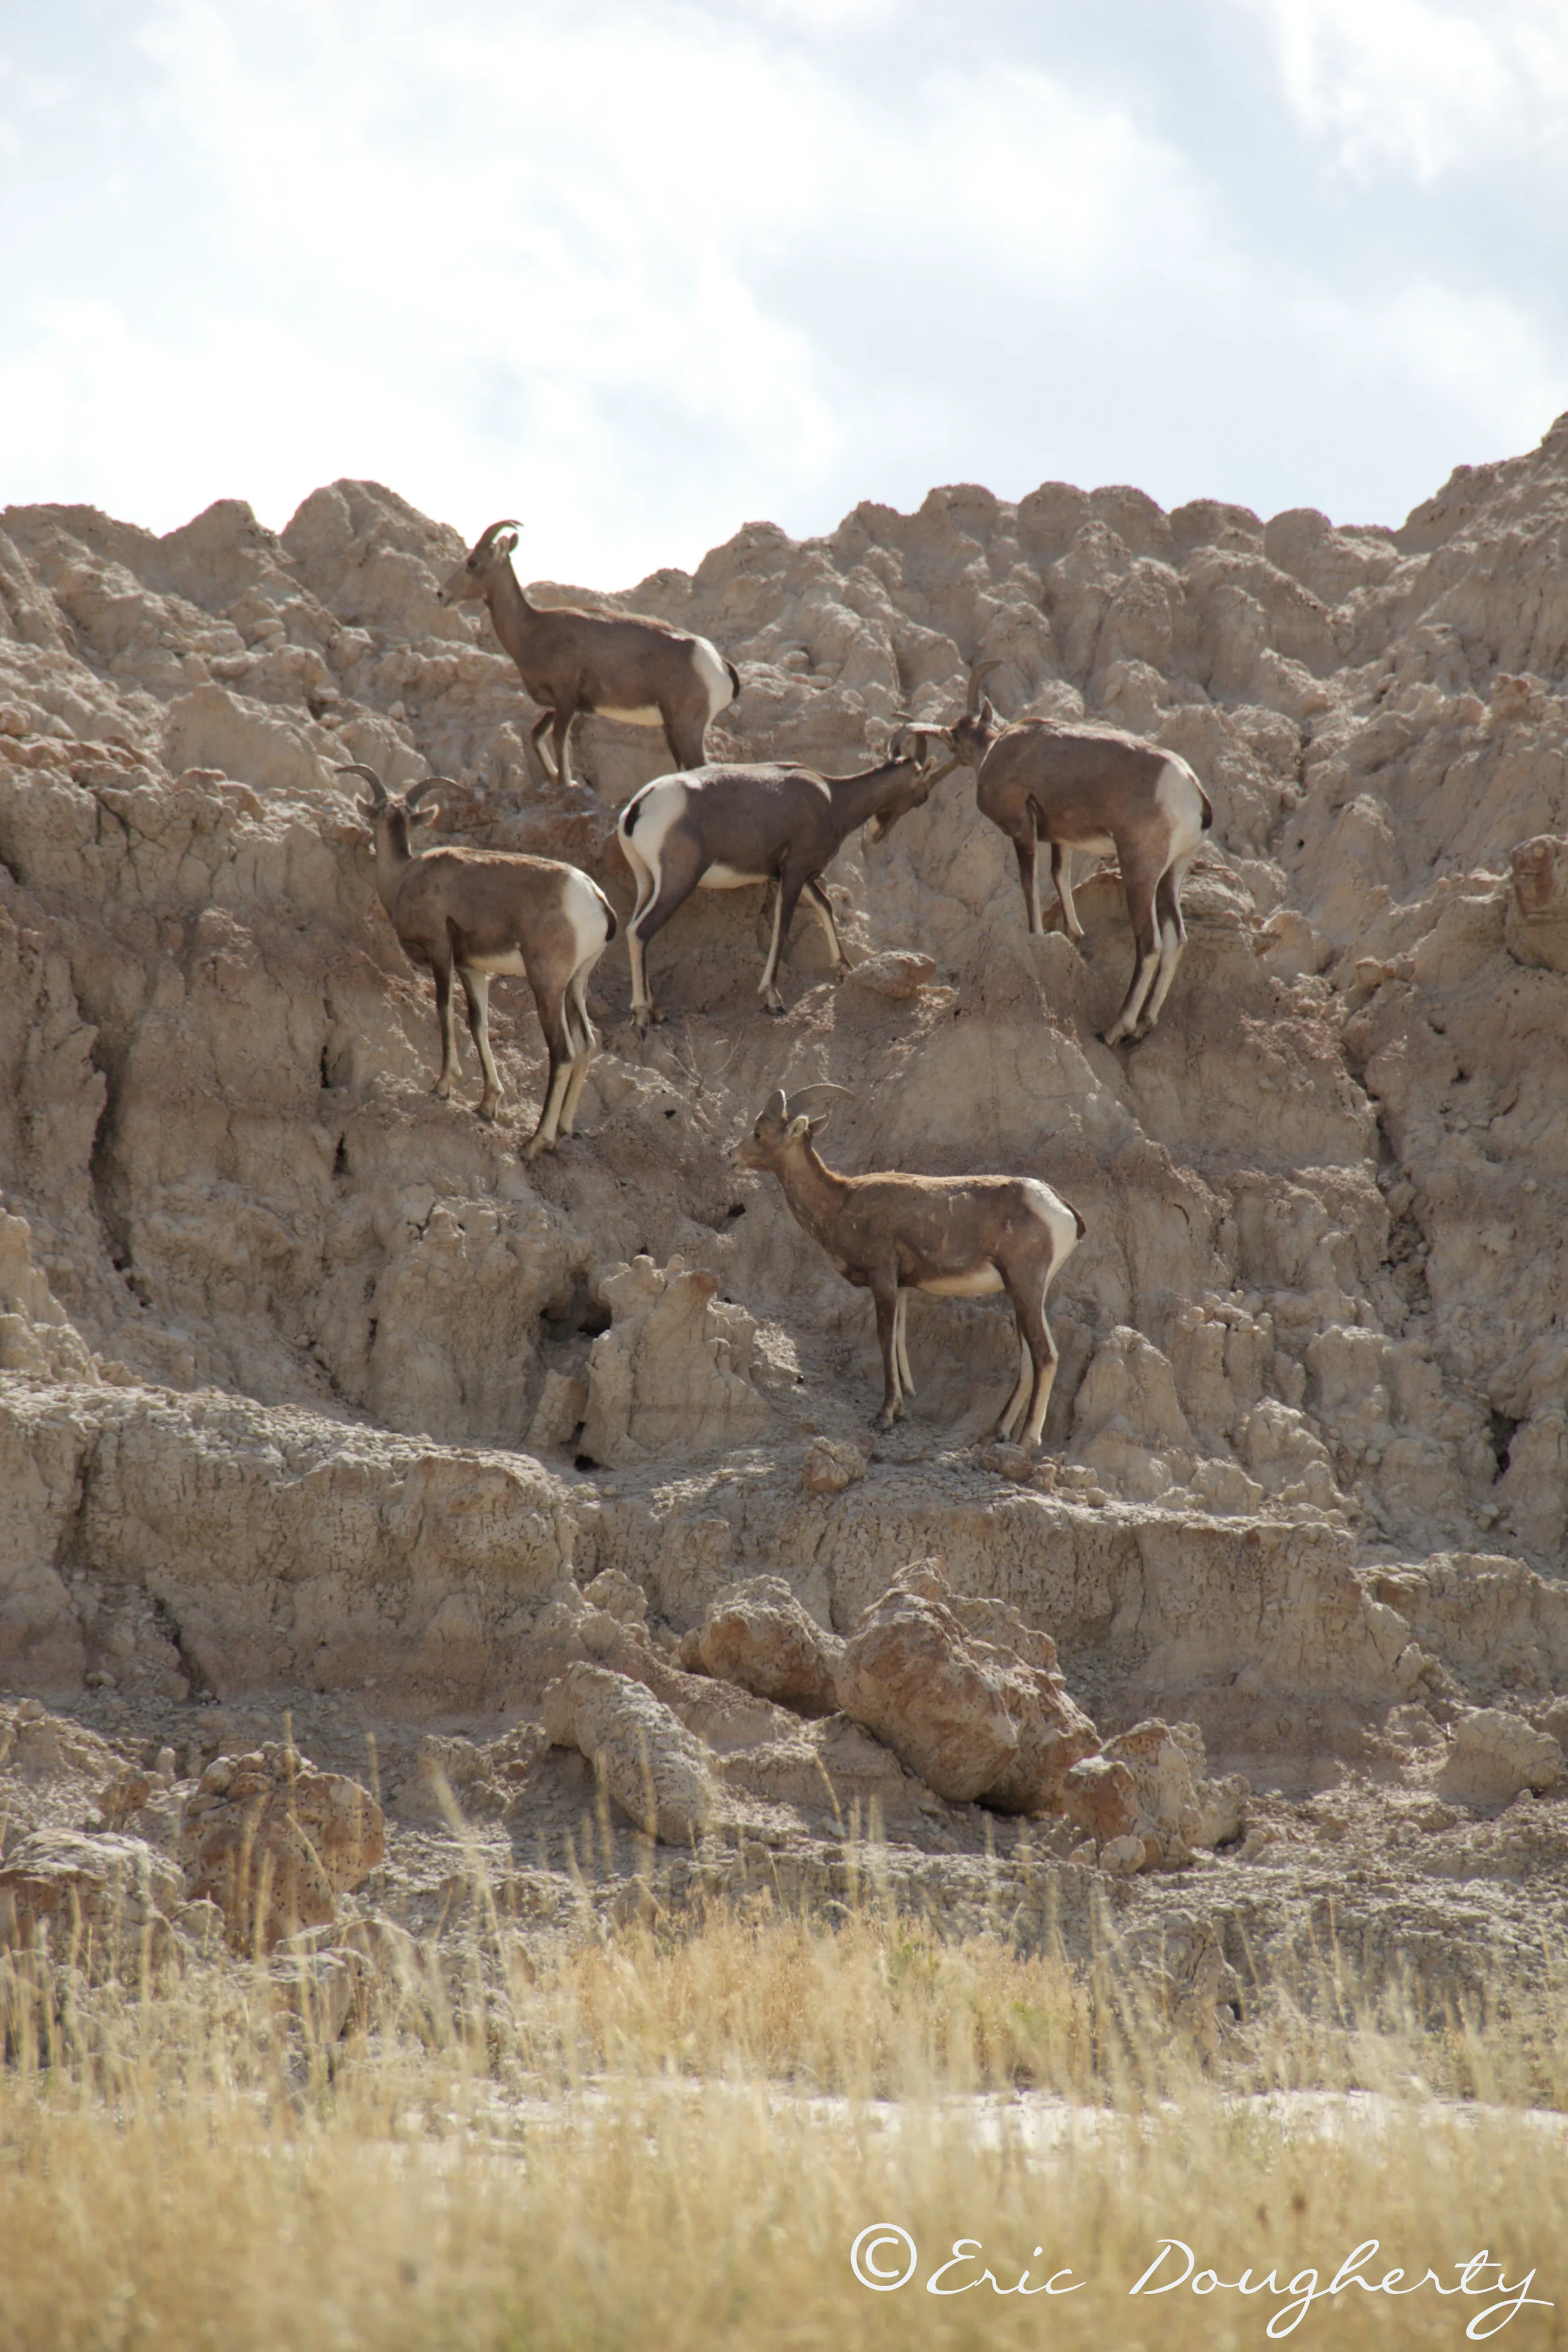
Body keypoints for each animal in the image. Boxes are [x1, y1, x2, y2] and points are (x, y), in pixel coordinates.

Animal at [340, 763, 614, 1158]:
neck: (406, 876)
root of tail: (594, 897)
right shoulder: (474, 970)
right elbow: (478, 1024)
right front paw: (487, 1106)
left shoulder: (441, 951)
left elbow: (443, 1008)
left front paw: (442, 1085)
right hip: (576, 984)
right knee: (587, 1045)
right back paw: (561, 1132)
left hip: (547, 985)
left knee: (563, 1052)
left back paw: (534, 1143)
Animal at [435, 520, 740, 789]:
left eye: (472, 563)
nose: (441, 595)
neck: (532, 629)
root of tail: (719, 665)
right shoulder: (560, 705)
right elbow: (536, 736)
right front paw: (554, 777)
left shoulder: (567, 696)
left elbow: (559, 738)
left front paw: (567, 782)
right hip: (674, 732)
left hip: (686, 730)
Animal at [616, 734, 958, 1029]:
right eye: (923, 794)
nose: (875, 836)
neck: (830, 795)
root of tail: (640, 805)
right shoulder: (795, 872)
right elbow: (782, 928)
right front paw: (773, 1000)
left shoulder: (796, 873)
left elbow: (825, 905)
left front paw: (844, 970)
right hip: (678, 883)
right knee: (639, 931)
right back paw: (642, 1016)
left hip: (648, 883)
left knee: (635, 928)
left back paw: (656, 1010)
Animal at [732, 1087, 1084, 1446]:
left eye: (759, 1133)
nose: (732, 1156)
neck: (840, 1203)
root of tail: (1060, 1207)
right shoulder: (901, 1286)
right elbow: (899, 1336)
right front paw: (901, 1409)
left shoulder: (883, 1279)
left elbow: (885, 1338)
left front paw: (885, 1416)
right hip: (1025, 1293)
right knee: (1029, 1359)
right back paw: (994, 1433)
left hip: (1026, 1287)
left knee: (1044, 1355)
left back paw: (1025, 1441)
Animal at [907, 664, 1214, 1044]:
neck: (998, 750)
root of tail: (1191, 789)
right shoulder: (1062, 840)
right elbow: (1059, 876)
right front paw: (1073, 936)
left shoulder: (1022, 829)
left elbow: (1029, 884)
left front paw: (1037, 936)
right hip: (1171, 875)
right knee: (1175, 939)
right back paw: (1143, 1025)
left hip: (1139, 872)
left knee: (1150, 945)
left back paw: (1114, 1030)